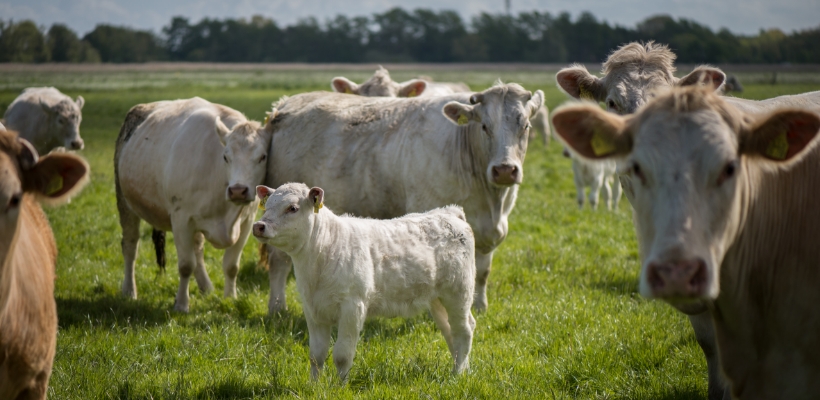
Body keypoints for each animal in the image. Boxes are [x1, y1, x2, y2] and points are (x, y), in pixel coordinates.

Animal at [114, 97, 272, 312]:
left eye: (262, 157)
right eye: (226, 157)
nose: (238, 190)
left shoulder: (247, 221)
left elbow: (231, 265)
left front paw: (230, 297)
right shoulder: (181, 219)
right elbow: (185, 265)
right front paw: (181, 304)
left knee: (197, 250)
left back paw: (206, 287)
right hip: (125, 202)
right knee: (130, 246)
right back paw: (129, 290)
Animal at [253, 183, 478, 380]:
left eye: (292, 208)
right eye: (267, 205)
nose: (258, 225)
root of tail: (449, 212)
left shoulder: (353, 306)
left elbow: (342, 355)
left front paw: (339, 387)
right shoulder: (313, 310)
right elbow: (316, 355)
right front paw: (314, 386)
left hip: (459, 292)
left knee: (464, 330)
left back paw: (457, 374)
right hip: (437, 299)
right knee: (450, 331)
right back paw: (464, 369)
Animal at [262, 83, 544, 316]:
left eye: (526, 126)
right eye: (484, 126)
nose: (505, 170)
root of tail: (285, 105)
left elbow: (482, 273)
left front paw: (479, 306)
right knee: (279, 262)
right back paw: (277, 308)